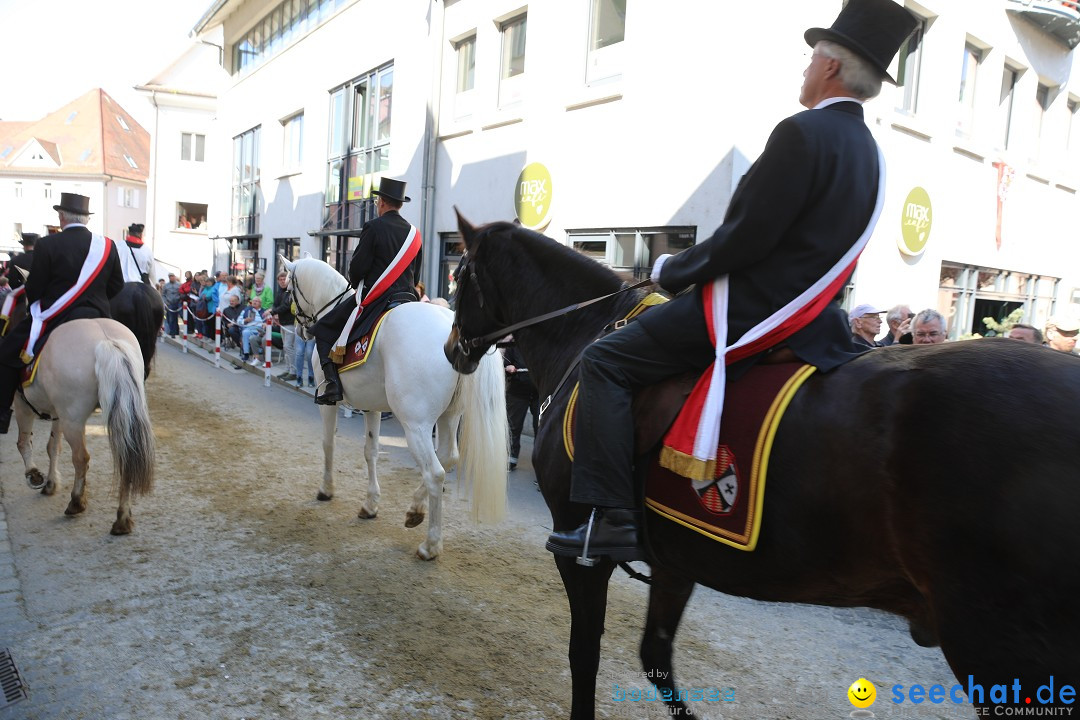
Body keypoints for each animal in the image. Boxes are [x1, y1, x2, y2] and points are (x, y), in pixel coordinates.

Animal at [15, 317, 156, 533]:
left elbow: (24, 443)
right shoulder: (57, 413)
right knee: (125, 457)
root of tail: (106, 341)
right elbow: (53, 447)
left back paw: (76, 502)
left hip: (73, 420)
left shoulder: (23, 404)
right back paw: (122, 519)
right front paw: (50, 483)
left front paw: (34, 475)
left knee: (81, 458)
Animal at [285, 255, 507, 561]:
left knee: (435, 472)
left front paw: (326, 490)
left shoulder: (328, 403)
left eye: (287, 289)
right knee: (448, 456)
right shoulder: (372, 406)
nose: (298, 328)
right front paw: (370, 504)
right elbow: (371, 451)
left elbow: (328, 443)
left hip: (415, 424)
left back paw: (430, 545)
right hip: (449, 416)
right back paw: (415, 510)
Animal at [440, 215, 1080, 720]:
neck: (584, 335)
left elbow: (585, 655)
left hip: (995, 645)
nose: (451, 348)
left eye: (459, 275)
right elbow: (655, 659)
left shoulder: (580, 550)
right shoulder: (675, 559)